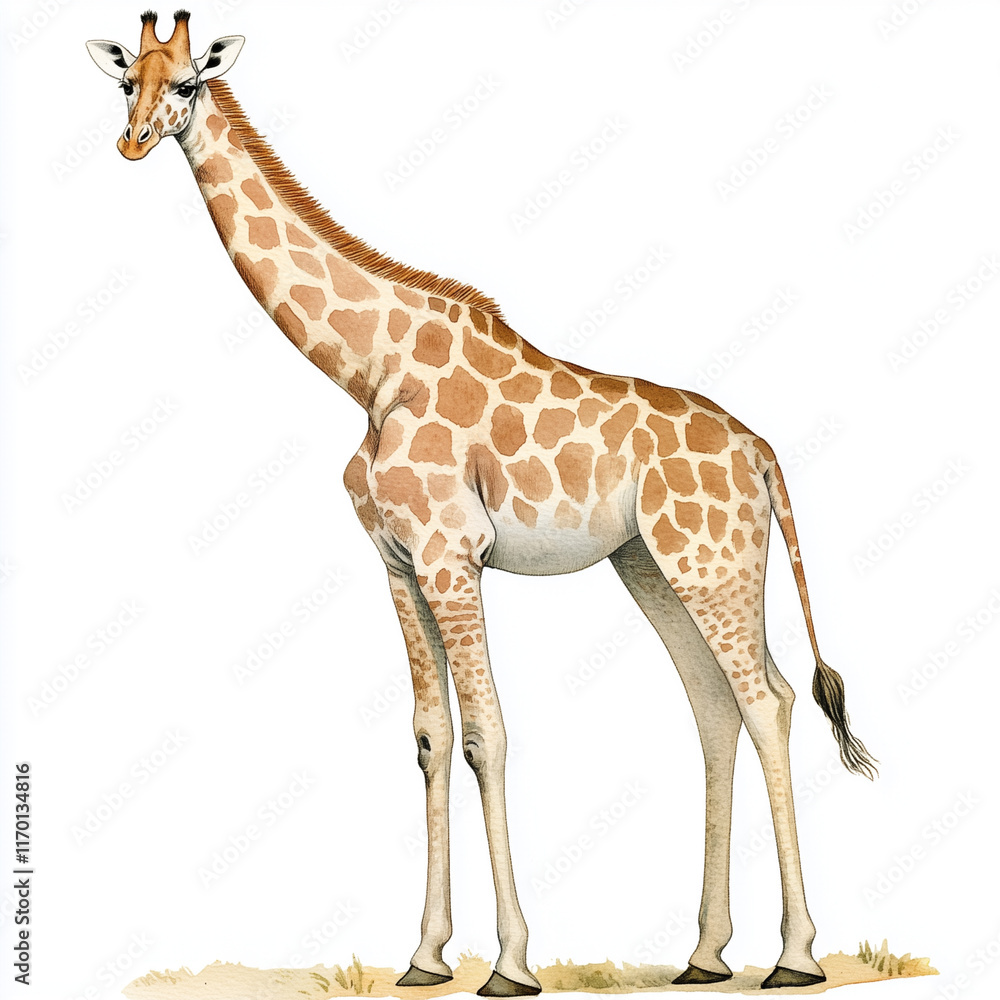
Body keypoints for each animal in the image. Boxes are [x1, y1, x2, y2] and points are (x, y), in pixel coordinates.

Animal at [87, 11, 877, 994]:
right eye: (128, 83)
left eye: (190, 81)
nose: (131, 141)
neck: (369, 371)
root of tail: (763, 453)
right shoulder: (396, 563)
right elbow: (430, 737)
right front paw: (424, 956)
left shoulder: (450, 553)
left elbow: (484, 737)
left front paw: (508, 961)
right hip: (652, 565)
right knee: (715, 706)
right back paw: (703, 954)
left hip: (712, 560)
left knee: (766, 699)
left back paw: (796, 955)